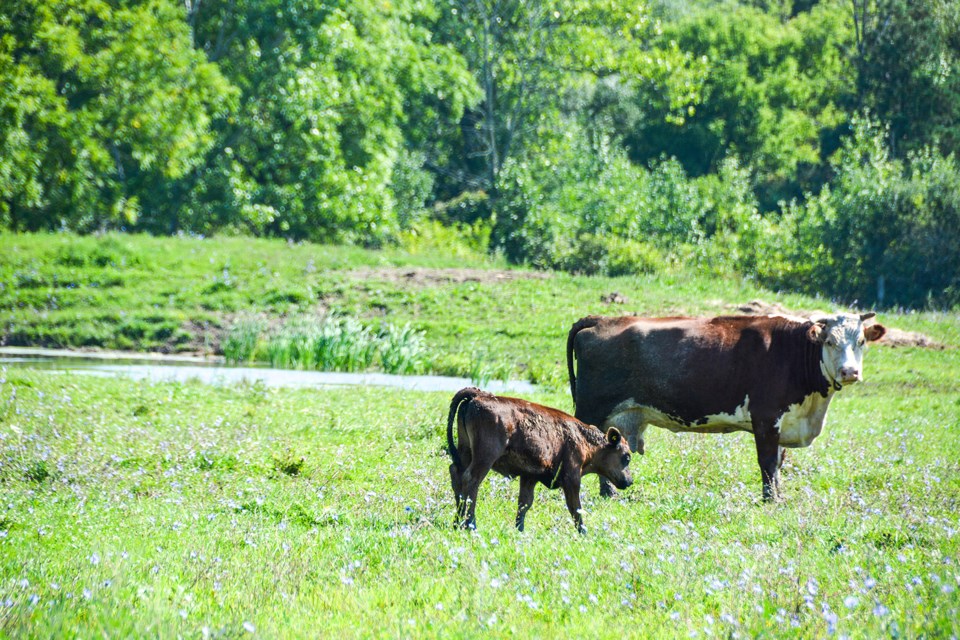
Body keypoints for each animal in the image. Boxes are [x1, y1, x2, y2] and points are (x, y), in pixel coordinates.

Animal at [446, 388, 632, 532]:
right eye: (626, 457)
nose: (629, 481)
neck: (582, 438)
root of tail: (478, 396)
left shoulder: (529, 476)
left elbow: (524, 503)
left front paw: (519, 529)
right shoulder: (571, 477)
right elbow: (576, 507)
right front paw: (583, 532)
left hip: (466, 451)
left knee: (456, 474)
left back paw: (457, 522)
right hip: (485, 457)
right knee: (471, 480)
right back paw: (471, 525)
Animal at [568, 312, 888, 502]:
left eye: (861, 341)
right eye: (830, 341)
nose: (850, 372)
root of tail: (601, 319)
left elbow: (779, 464)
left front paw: (779, 496)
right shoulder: (766, 417)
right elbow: (768, 463)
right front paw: (770, 500)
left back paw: (609, 493)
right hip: (590, 410)